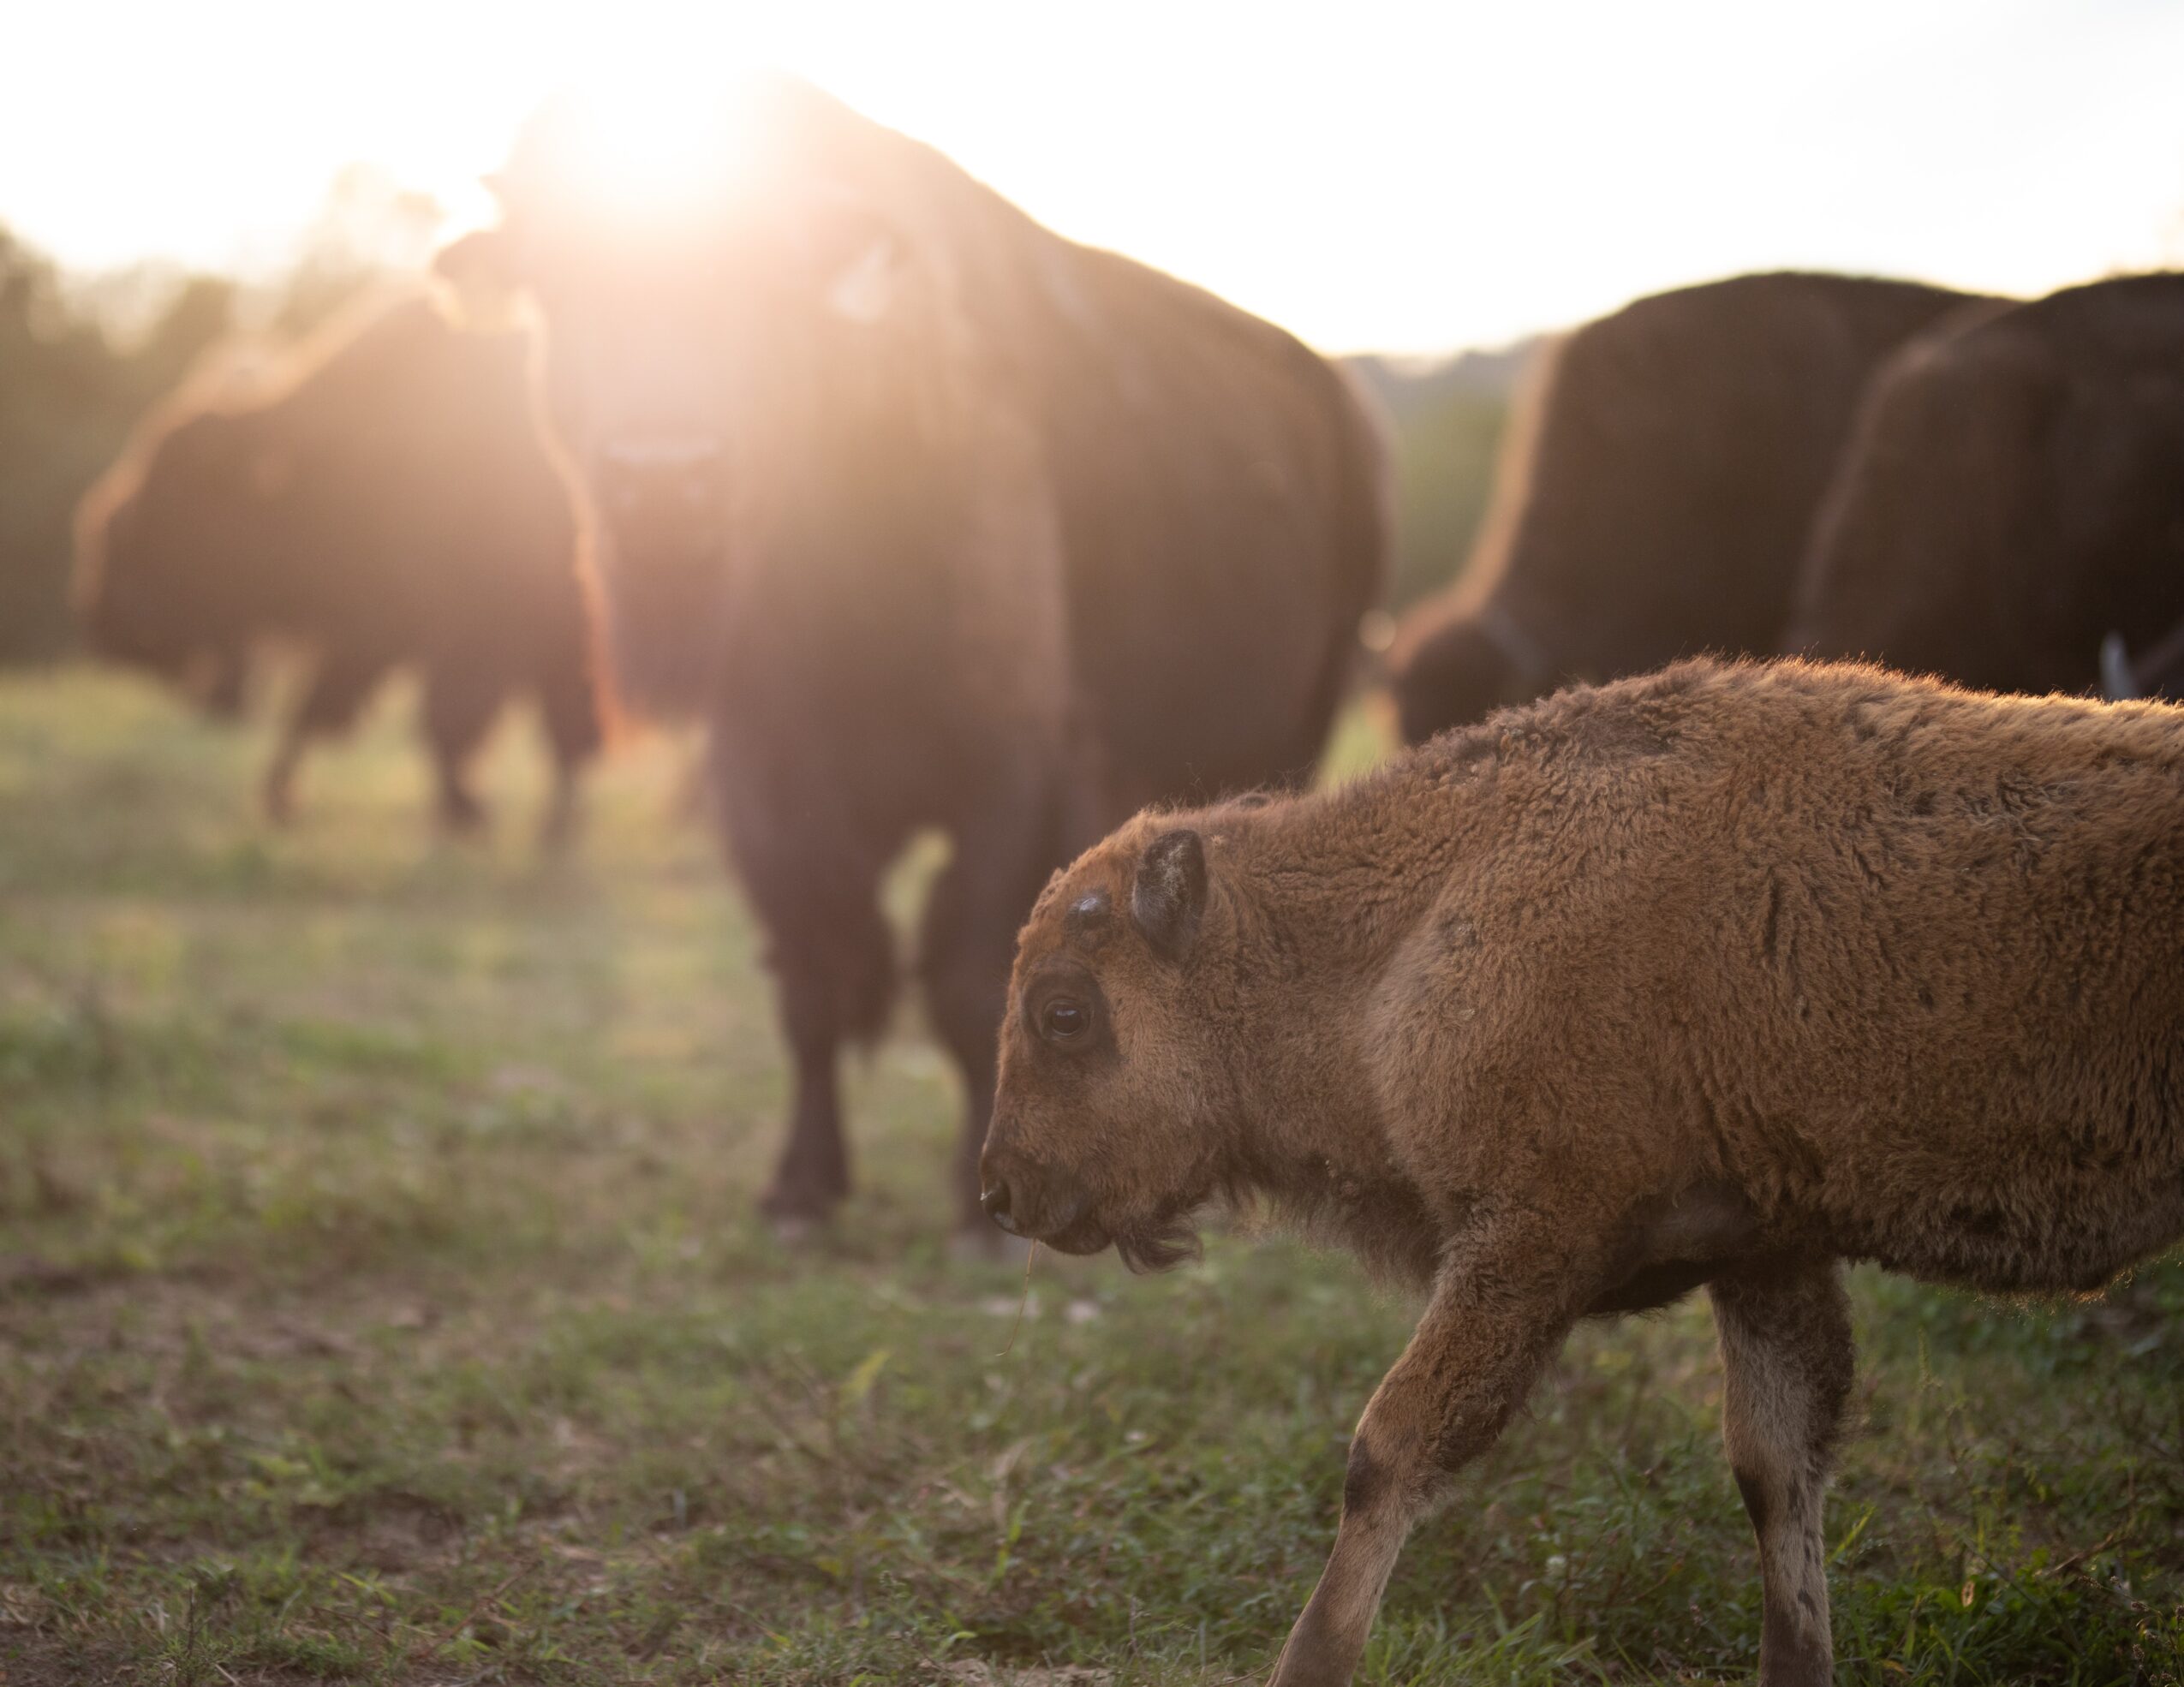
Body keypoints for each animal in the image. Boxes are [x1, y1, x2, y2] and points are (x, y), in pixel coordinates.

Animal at [76, 294, 601, 842]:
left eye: (174, 500)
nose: (103, 622)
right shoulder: (373, 630)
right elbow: (316, 710)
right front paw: (278, 799)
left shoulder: (485, 629)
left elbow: (452, 718)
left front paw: (468, 811)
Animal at [447, 78, 1389, 1236]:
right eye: (556, 284)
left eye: (767, 288)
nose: (664, 475)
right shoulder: (769, 780)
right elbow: (815, 970)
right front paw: (800, 1188)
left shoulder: (1010, 774)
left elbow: (974, 973)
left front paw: (981, 1216)